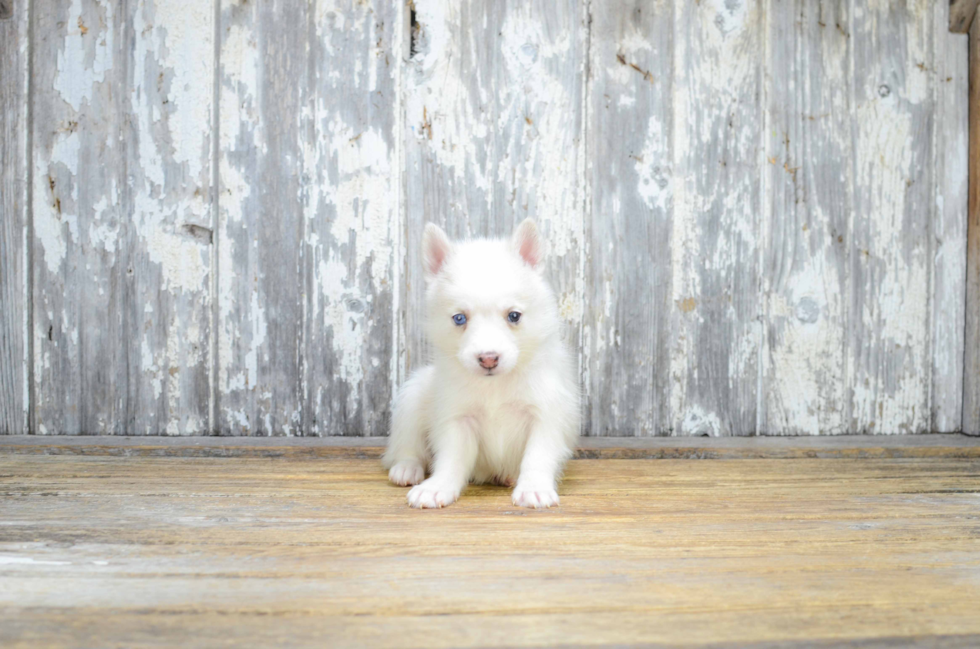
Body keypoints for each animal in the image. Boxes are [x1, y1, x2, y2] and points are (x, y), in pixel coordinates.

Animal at [382, 220, 580, 508]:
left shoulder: (545, 415)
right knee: (407, 446)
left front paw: (533, 487)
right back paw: (407, 468)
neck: (494, 387)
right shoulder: (457, 418)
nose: (488, 358)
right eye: (459, 318)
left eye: (514, 316)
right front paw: (438, 486)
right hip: (413, 397)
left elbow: (537, 456)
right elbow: (450, 459)